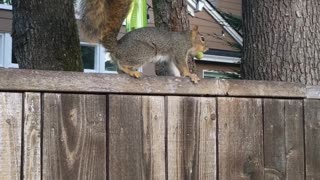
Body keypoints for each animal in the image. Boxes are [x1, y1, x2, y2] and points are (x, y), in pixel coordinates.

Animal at [80, 0, 209, 83]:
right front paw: (190, 74)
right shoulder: (179, 50)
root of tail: (117, 47)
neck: (187, 39)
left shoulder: (171, 58)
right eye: (202, 38)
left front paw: (180, 76)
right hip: (144, 51)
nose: (207, 48)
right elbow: (182, 64)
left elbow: (174, 67)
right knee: (123, 64)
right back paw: (132, 71)